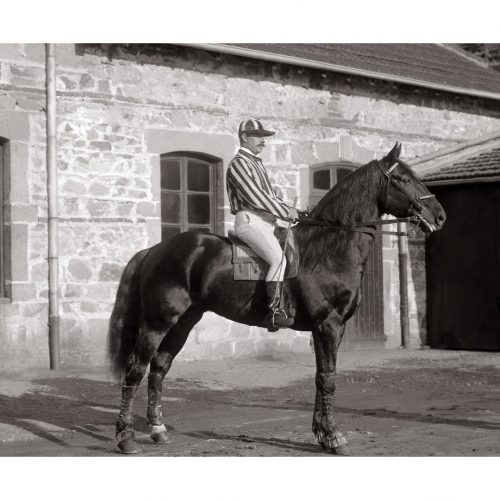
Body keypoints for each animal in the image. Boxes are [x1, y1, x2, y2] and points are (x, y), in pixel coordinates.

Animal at [106, 144, 446, 454]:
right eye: (403, 178)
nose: (439, 216)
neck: (328, 249)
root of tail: (155, 249)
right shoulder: (329, 326)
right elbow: (328, 378)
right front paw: (334, 437)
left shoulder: (323, 330)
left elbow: (320, 377)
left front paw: (321, 434)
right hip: (157, 323)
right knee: (136, 369)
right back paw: (125, 438)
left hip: (184, 322)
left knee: (159, 368)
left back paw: (158, 430)